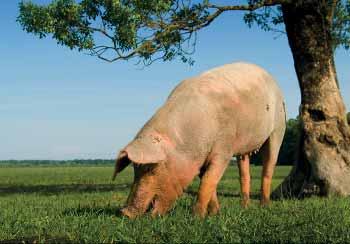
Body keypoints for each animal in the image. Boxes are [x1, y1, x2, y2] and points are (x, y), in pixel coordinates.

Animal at [112, 62, 284, 218]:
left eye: (151, 168)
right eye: (135, 169)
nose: (124, 212)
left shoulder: (224, 147)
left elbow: (208, 180)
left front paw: (197, 217)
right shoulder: (200, 158)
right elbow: (207, 183)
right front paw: (214, 214)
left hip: (278, 127)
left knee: (268, 167)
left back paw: (264, 206)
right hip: (245, 146)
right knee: (244, 174)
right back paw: (244, 207)